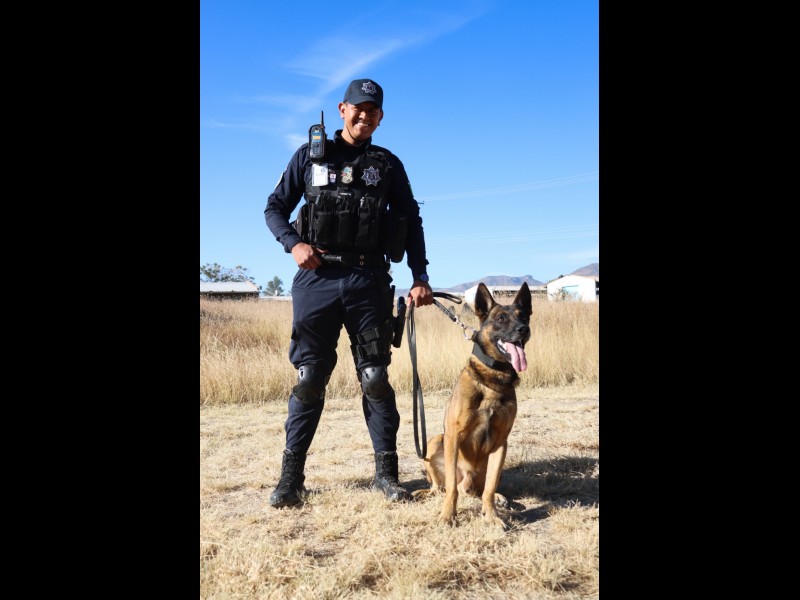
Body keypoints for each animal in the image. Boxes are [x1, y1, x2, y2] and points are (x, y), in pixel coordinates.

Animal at [412, 282, 531, 527]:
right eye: (501, 318)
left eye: (523, 316)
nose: (523, 329)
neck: (493, 378)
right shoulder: (453, 436)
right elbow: (451, 490)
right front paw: (447, 515)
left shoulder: (501, 444)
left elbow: (489, 488)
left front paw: (492, 516)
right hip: (435, 441)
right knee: (442, 488)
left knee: (480, 490)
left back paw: (500, 498)